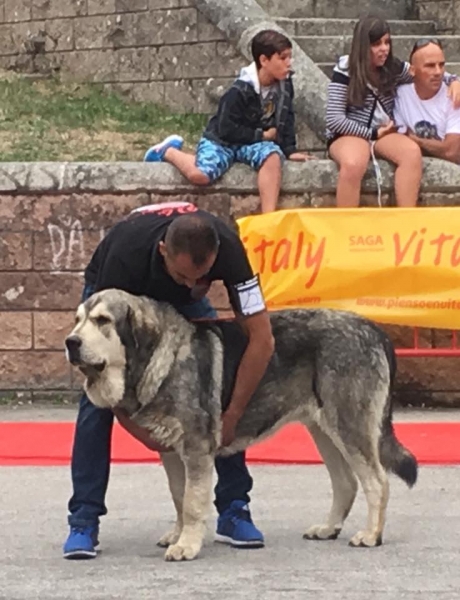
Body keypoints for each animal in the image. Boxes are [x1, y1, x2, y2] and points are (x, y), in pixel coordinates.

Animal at [65, 288, 420, 560]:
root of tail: (375, 330)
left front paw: (187, 546)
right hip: (323, 429)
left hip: (349, 424)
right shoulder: (172, 452)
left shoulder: (196, 448)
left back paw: (371, 534)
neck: (158, 359)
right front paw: (179, 535)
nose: (70, 342)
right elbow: (179, 498)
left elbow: (192, 502)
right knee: (346, 482)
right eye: (78, 320)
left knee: (377, 481)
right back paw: (328, 528)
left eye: (102, 321)